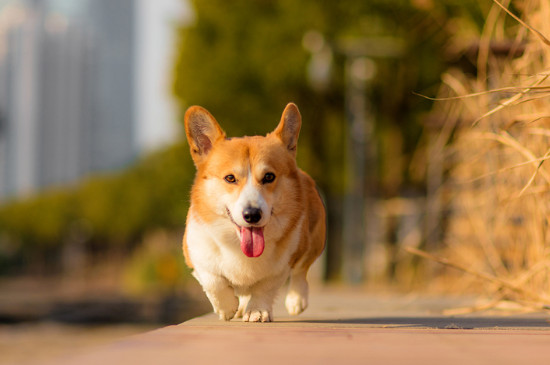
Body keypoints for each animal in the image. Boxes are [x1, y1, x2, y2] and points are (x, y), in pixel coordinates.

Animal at [181, 102, 328, 322]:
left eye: (269, 177)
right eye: (230, 178)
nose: (252, 215)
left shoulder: (281, 265)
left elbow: (264, 287)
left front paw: (257, 310)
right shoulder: (196, 255)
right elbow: (213, 280)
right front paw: (227, 308)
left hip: (313, 241)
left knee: (301, 270)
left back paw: (296, 300)